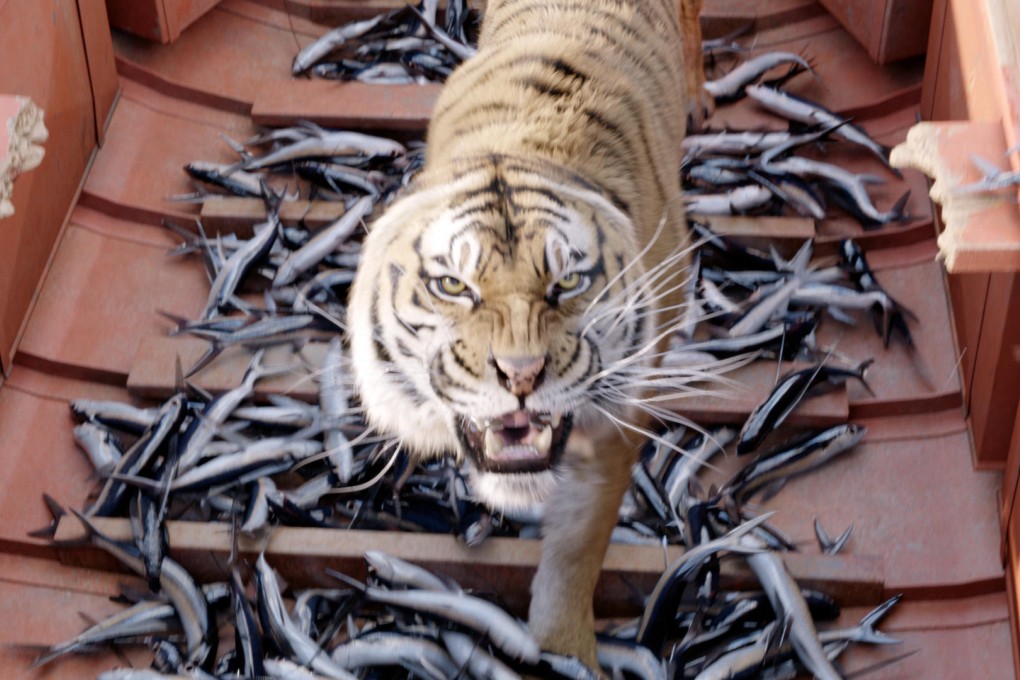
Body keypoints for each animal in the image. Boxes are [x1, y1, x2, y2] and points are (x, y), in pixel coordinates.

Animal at [348, 0, 709, 665]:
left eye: (568, 283)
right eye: (453, 284)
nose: (520, 374)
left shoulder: (616, 424)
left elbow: (579, 547)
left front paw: (566, 650)